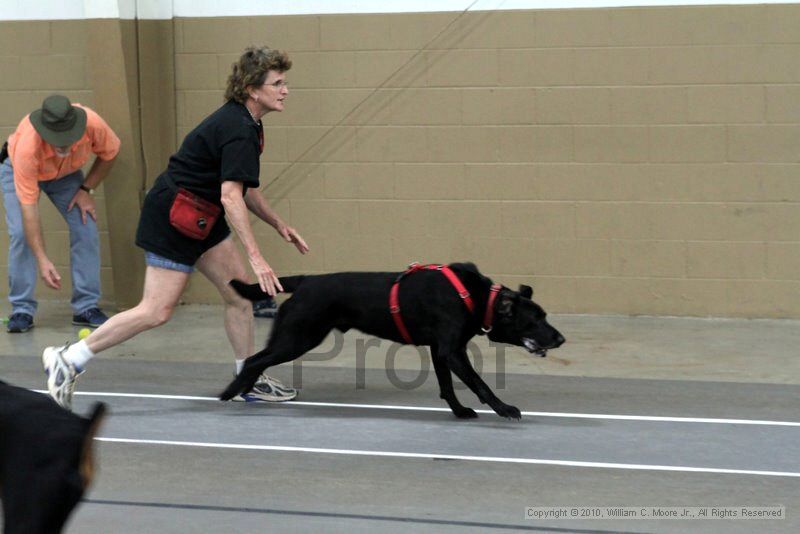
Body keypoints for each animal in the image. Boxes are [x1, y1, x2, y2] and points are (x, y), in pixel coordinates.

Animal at [222, 262, 564, 420]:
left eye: (545, 315)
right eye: (535, 320)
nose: (561, 338)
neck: (478, 298)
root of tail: (305, 280)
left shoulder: (440, 350)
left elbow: (447, 386)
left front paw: (459, 411)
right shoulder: (453, 351)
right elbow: (480, 384)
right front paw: (504, 408)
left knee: (256, 359)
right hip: (298, 337)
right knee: (254, 360)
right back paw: (231, 391)